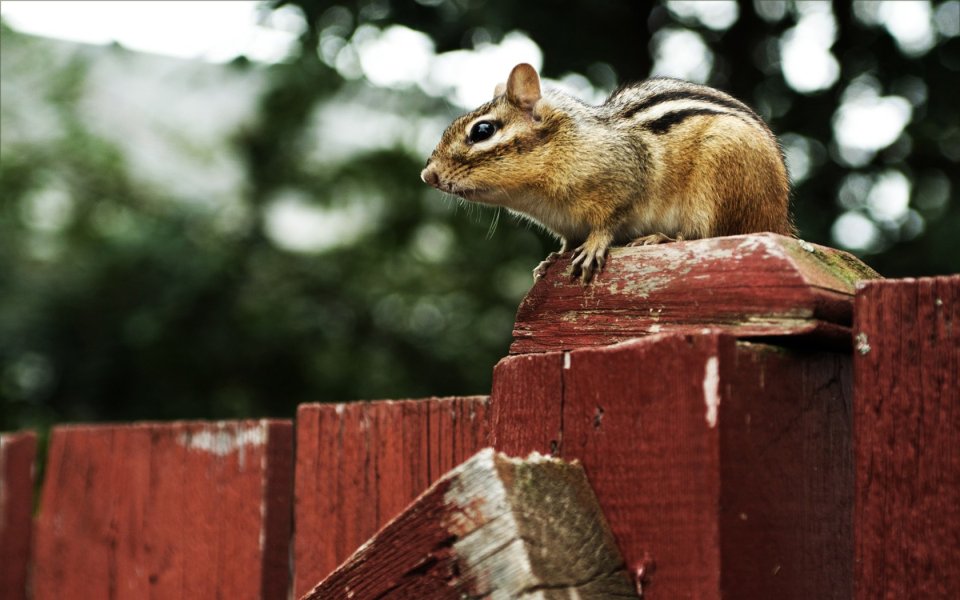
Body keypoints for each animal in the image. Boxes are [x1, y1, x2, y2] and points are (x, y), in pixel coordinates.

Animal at [421, 63, 793, 283]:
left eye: (482, 131)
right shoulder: (566, 224)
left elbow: (609, 220)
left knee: (705, 235)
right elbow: (568, 241)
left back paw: (660, 238)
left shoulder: (627, 179)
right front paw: (552, 258)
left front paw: (593, 246)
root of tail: (780, 221)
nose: (428, 176)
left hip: (720, 180)